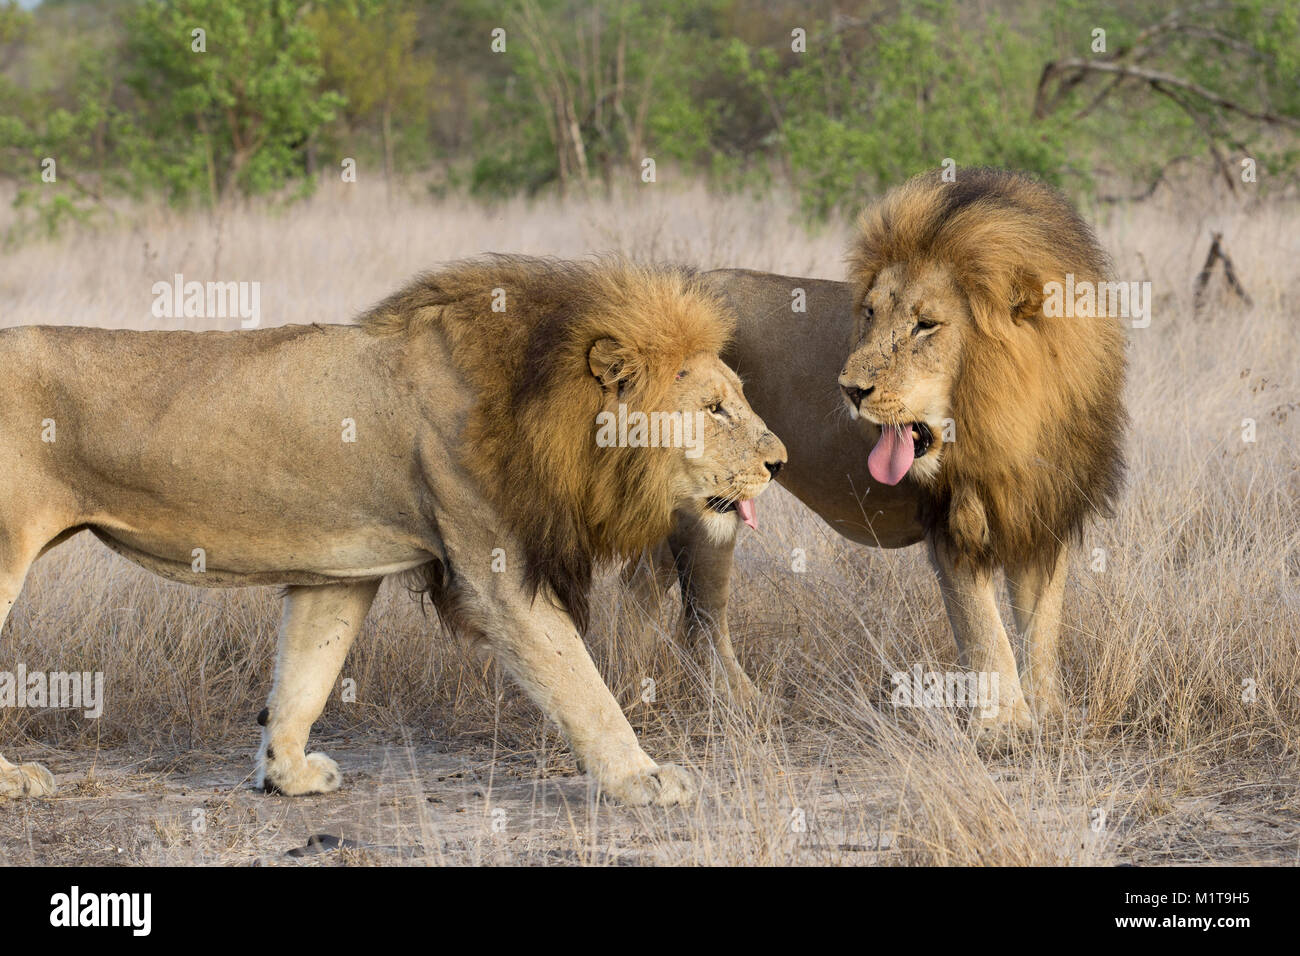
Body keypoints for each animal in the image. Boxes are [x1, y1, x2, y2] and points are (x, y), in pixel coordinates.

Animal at [0, 256, 785, 806]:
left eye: (737, 399)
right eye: (714, 408)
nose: (778, 462)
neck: (547, 409)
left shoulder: (340, 570)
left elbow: (306, 675)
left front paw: (286, 775)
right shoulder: (499, 574)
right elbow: (580, 685)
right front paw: (644, 779)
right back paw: (14, 780)